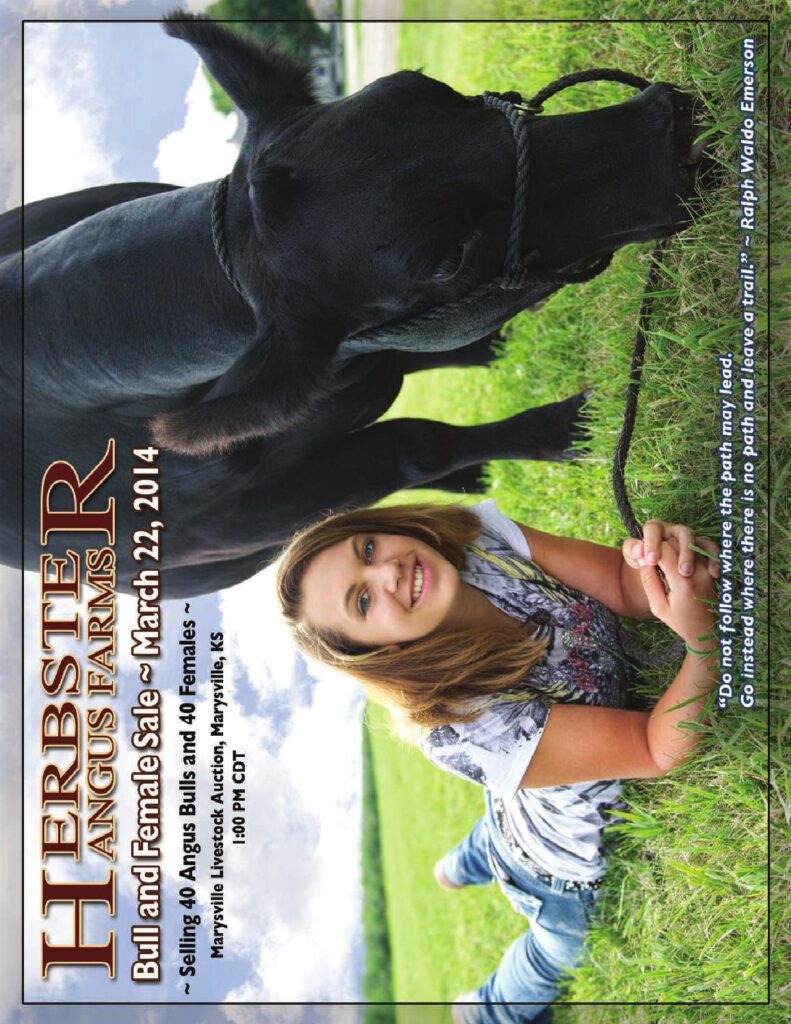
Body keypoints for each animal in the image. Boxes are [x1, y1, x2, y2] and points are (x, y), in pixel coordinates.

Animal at [1, 14, 705, 597]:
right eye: (449, 260)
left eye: (428, 88)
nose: (664, 134)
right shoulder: (288, 499)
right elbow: (422, 444)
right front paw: (574, 427)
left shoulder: (366, 356)